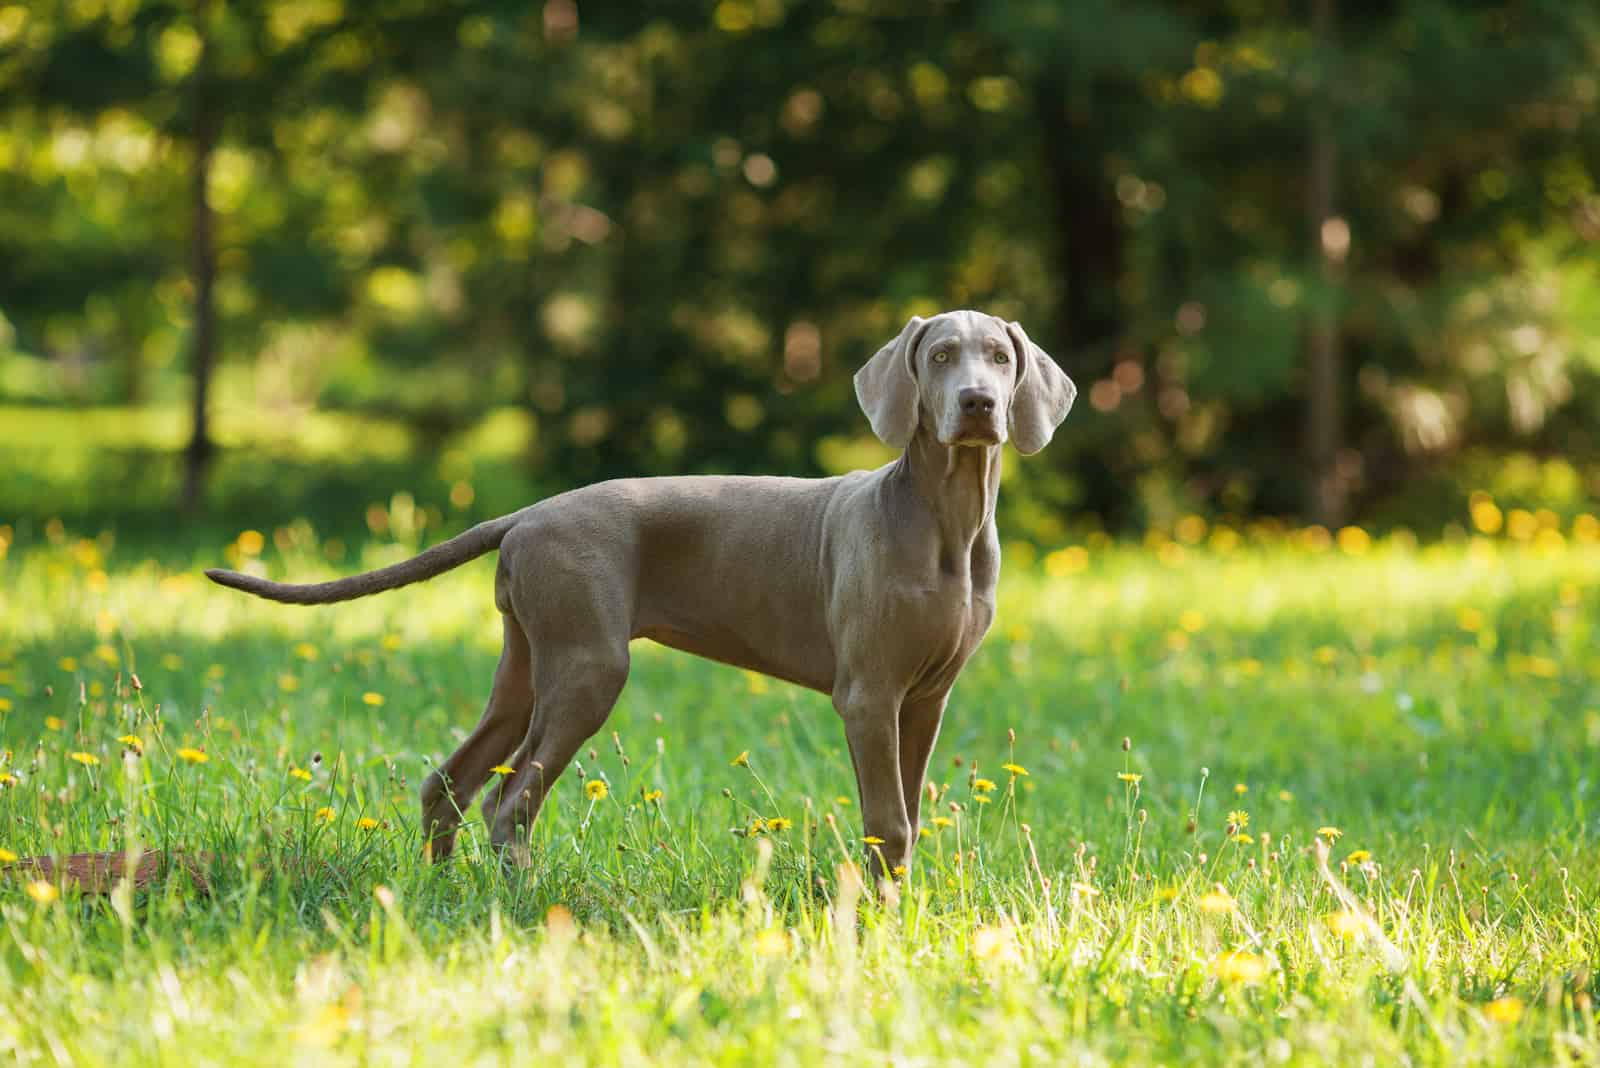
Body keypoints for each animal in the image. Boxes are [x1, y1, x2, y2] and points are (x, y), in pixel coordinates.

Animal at [203, 310, 1075, 876]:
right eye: (940, 356)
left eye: (1000, 358)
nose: (978, 405)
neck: (946, 519)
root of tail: (531, 512)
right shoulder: (868, 695)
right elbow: (885, 822)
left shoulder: (925, 698)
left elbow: (910, 821)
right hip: (589, 665)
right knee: (509, 802)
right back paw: (522, 901)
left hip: (529, 663)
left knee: (450, 781)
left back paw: (438, 891)